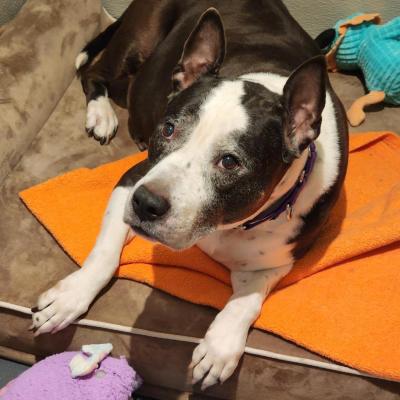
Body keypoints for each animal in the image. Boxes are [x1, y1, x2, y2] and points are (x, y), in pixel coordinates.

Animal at [32, 0, 348, 388]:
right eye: (168, 129)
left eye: (230, 162)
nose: (146, 203)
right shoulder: (130, 181)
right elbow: (104, 255)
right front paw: (72, 296)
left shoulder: (277, 261)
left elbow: (247, 301)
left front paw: (220, 346)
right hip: (137, 41)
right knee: (93, 73)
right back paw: (101, 112)